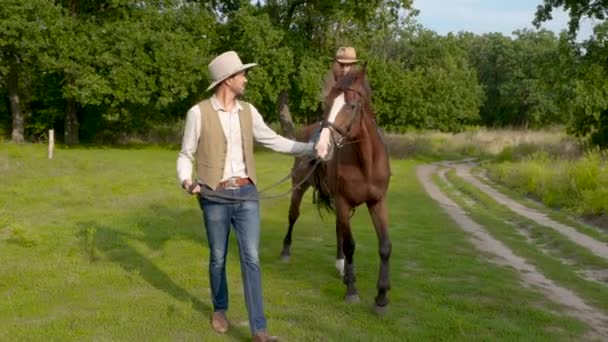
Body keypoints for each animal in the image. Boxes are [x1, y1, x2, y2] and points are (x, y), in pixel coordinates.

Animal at [282, 67, 394, 312]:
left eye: (351, 106)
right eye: (327, 104)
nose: (322, 148)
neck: (365, 162)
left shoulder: (377, 202)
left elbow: (384, 246)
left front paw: (381, 297)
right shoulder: (343, 202)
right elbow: (351, 245)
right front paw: (351, 290)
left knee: (338, 231)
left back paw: (341, 266)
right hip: (299, 188)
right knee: (293, 216)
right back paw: (285, 251)